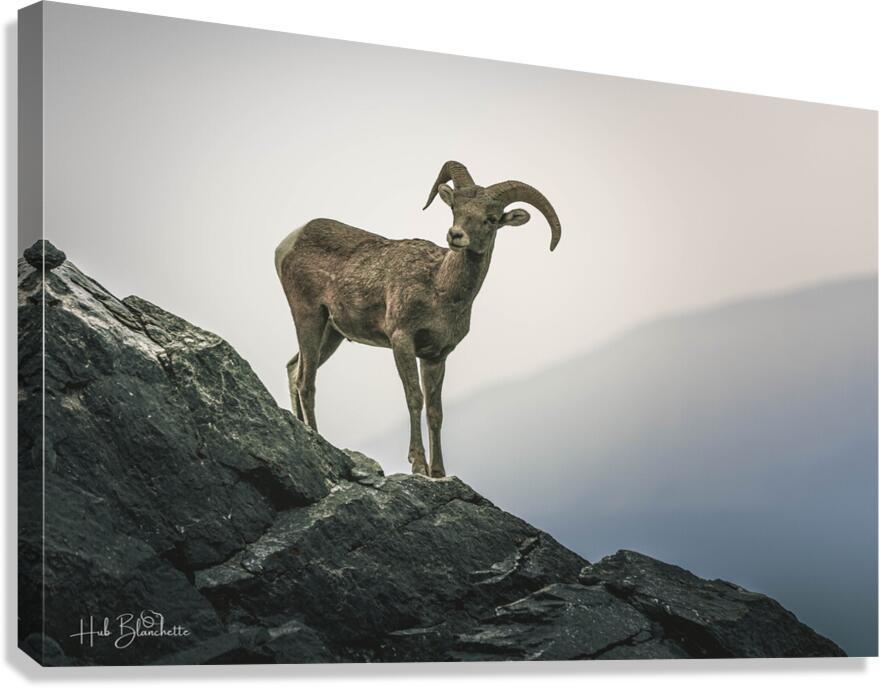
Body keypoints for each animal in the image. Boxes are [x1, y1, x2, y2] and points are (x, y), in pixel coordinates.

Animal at [275, 161, 561, 477]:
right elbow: (414, 398)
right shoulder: (402, 340)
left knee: (294, 368)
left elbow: (436, 412)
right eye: (455, 208)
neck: (440, 288)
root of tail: (288, 243)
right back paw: (315, 436)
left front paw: (438, 472)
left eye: (491, 218)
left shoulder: (436, 355)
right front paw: (418, 465)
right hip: (308, 315)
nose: (455, 235)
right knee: (305, 380)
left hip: (332, 332)